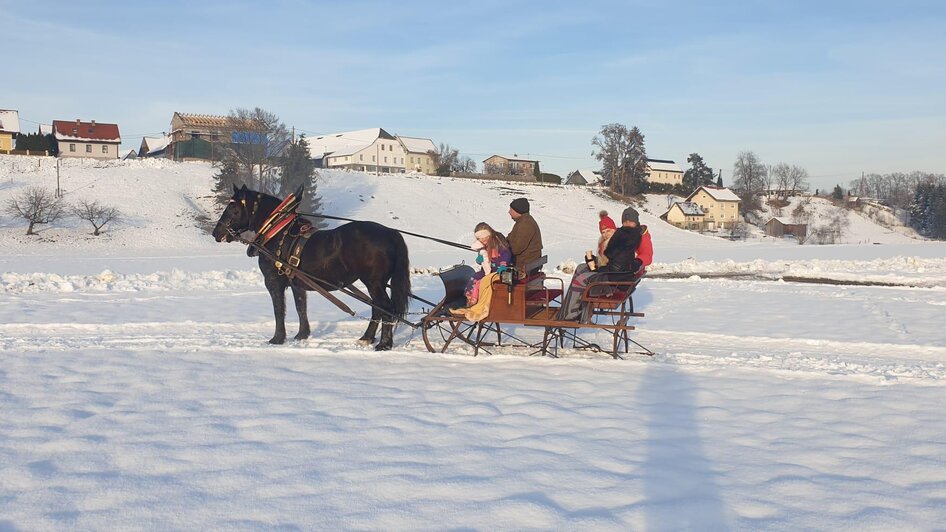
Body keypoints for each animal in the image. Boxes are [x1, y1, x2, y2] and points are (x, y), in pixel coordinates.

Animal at [214, 185, 410, 352]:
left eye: (232, 208)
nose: (216, 232)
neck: (277, 232)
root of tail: (391, 233)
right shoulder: (297, 283)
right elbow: (300, 307)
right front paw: (302, 335)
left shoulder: (273, 281)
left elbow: (279, 309)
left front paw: (277, 338)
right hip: (377, 283)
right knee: (377, 308)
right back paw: (367, 338)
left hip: (374, 282)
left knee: (385, 308)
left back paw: (384, 344)